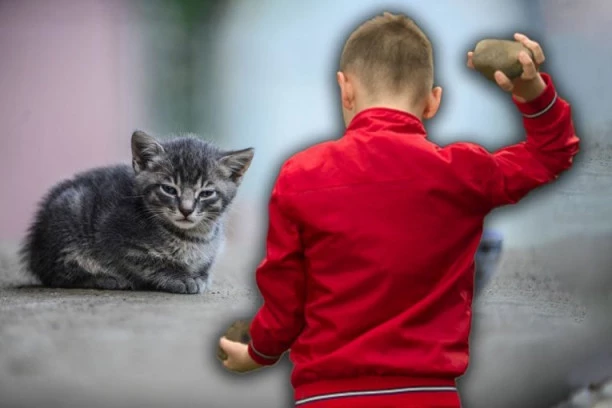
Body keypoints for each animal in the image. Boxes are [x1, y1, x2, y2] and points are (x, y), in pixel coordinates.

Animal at [19, 131, 253, 294]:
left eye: (206, 193)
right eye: (169, 189)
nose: (186, 210)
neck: (191, 237)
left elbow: (206, 264)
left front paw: (202, 276)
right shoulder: (117, 240)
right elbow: (151, 264)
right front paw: (180, 278)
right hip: (70, 214)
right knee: (58, 275)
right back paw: (106, 279)